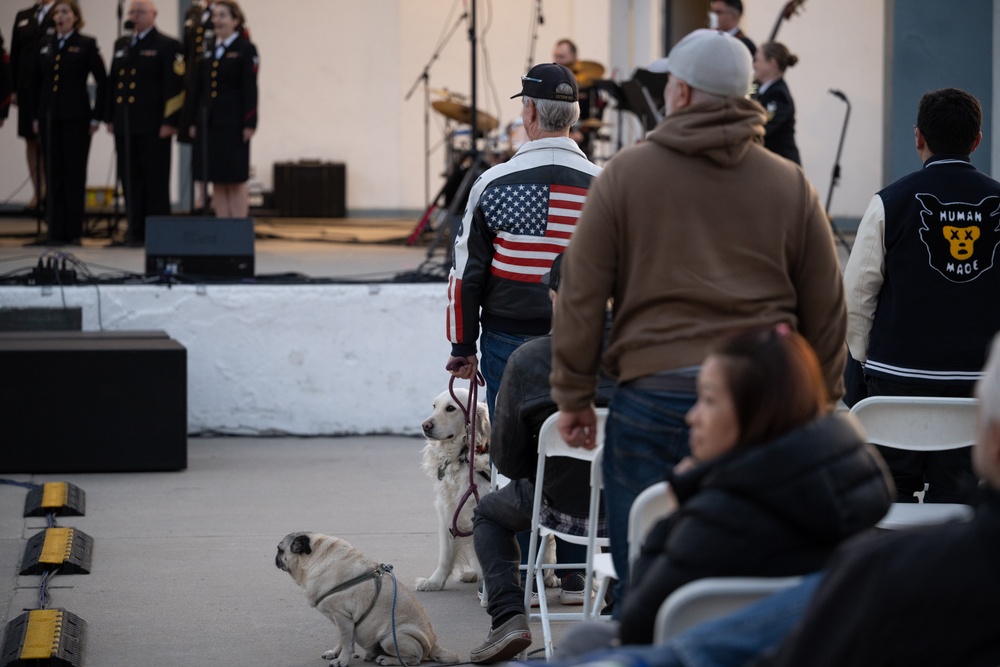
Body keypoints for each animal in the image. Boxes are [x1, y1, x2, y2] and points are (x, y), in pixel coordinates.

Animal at [414, 388, 492, 592]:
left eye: (451, 408)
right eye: (434, 406)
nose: (425, 425)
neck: (463, 455)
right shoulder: (447, 511)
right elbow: (445, 555)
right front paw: (434, 582)